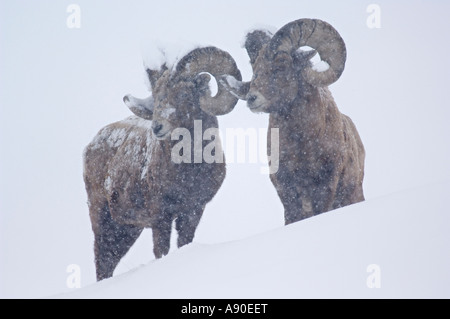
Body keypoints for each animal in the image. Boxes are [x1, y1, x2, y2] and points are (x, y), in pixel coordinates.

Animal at [82, 46, 241, 282]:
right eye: (157, 96)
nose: (157, 127)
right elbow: (161, 251)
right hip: (102, 218)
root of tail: (91, 145)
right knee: (102, 261)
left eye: (184, 94)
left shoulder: (193, 211)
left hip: (127, 230)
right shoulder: (160, 217)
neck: (190, 171)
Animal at [222, 19, 366, 225]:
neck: (302, 144)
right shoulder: (285, 186)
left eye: (281, 65)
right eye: (255, 67)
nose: (252, 98)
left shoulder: (326, 184)